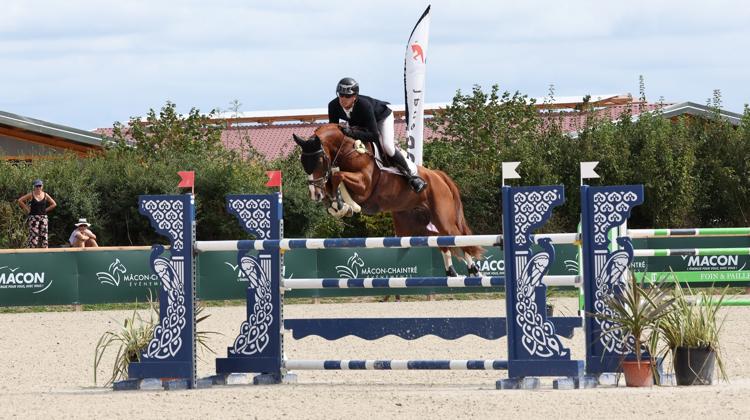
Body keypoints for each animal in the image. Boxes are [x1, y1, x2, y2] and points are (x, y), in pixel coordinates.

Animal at [290, 123, 484, 278]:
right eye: (302, 161)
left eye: (319, 160)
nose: (314, 194)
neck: (348, 150)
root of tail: (438, 175)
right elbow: (333, 182)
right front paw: (337, 207)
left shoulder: (364, 185)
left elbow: (338, 176)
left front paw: (348, 206)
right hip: (412, 227)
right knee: (441, 239)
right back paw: (452, 271)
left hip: (442, 218)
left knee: (457, 236)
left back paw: (473, 270)